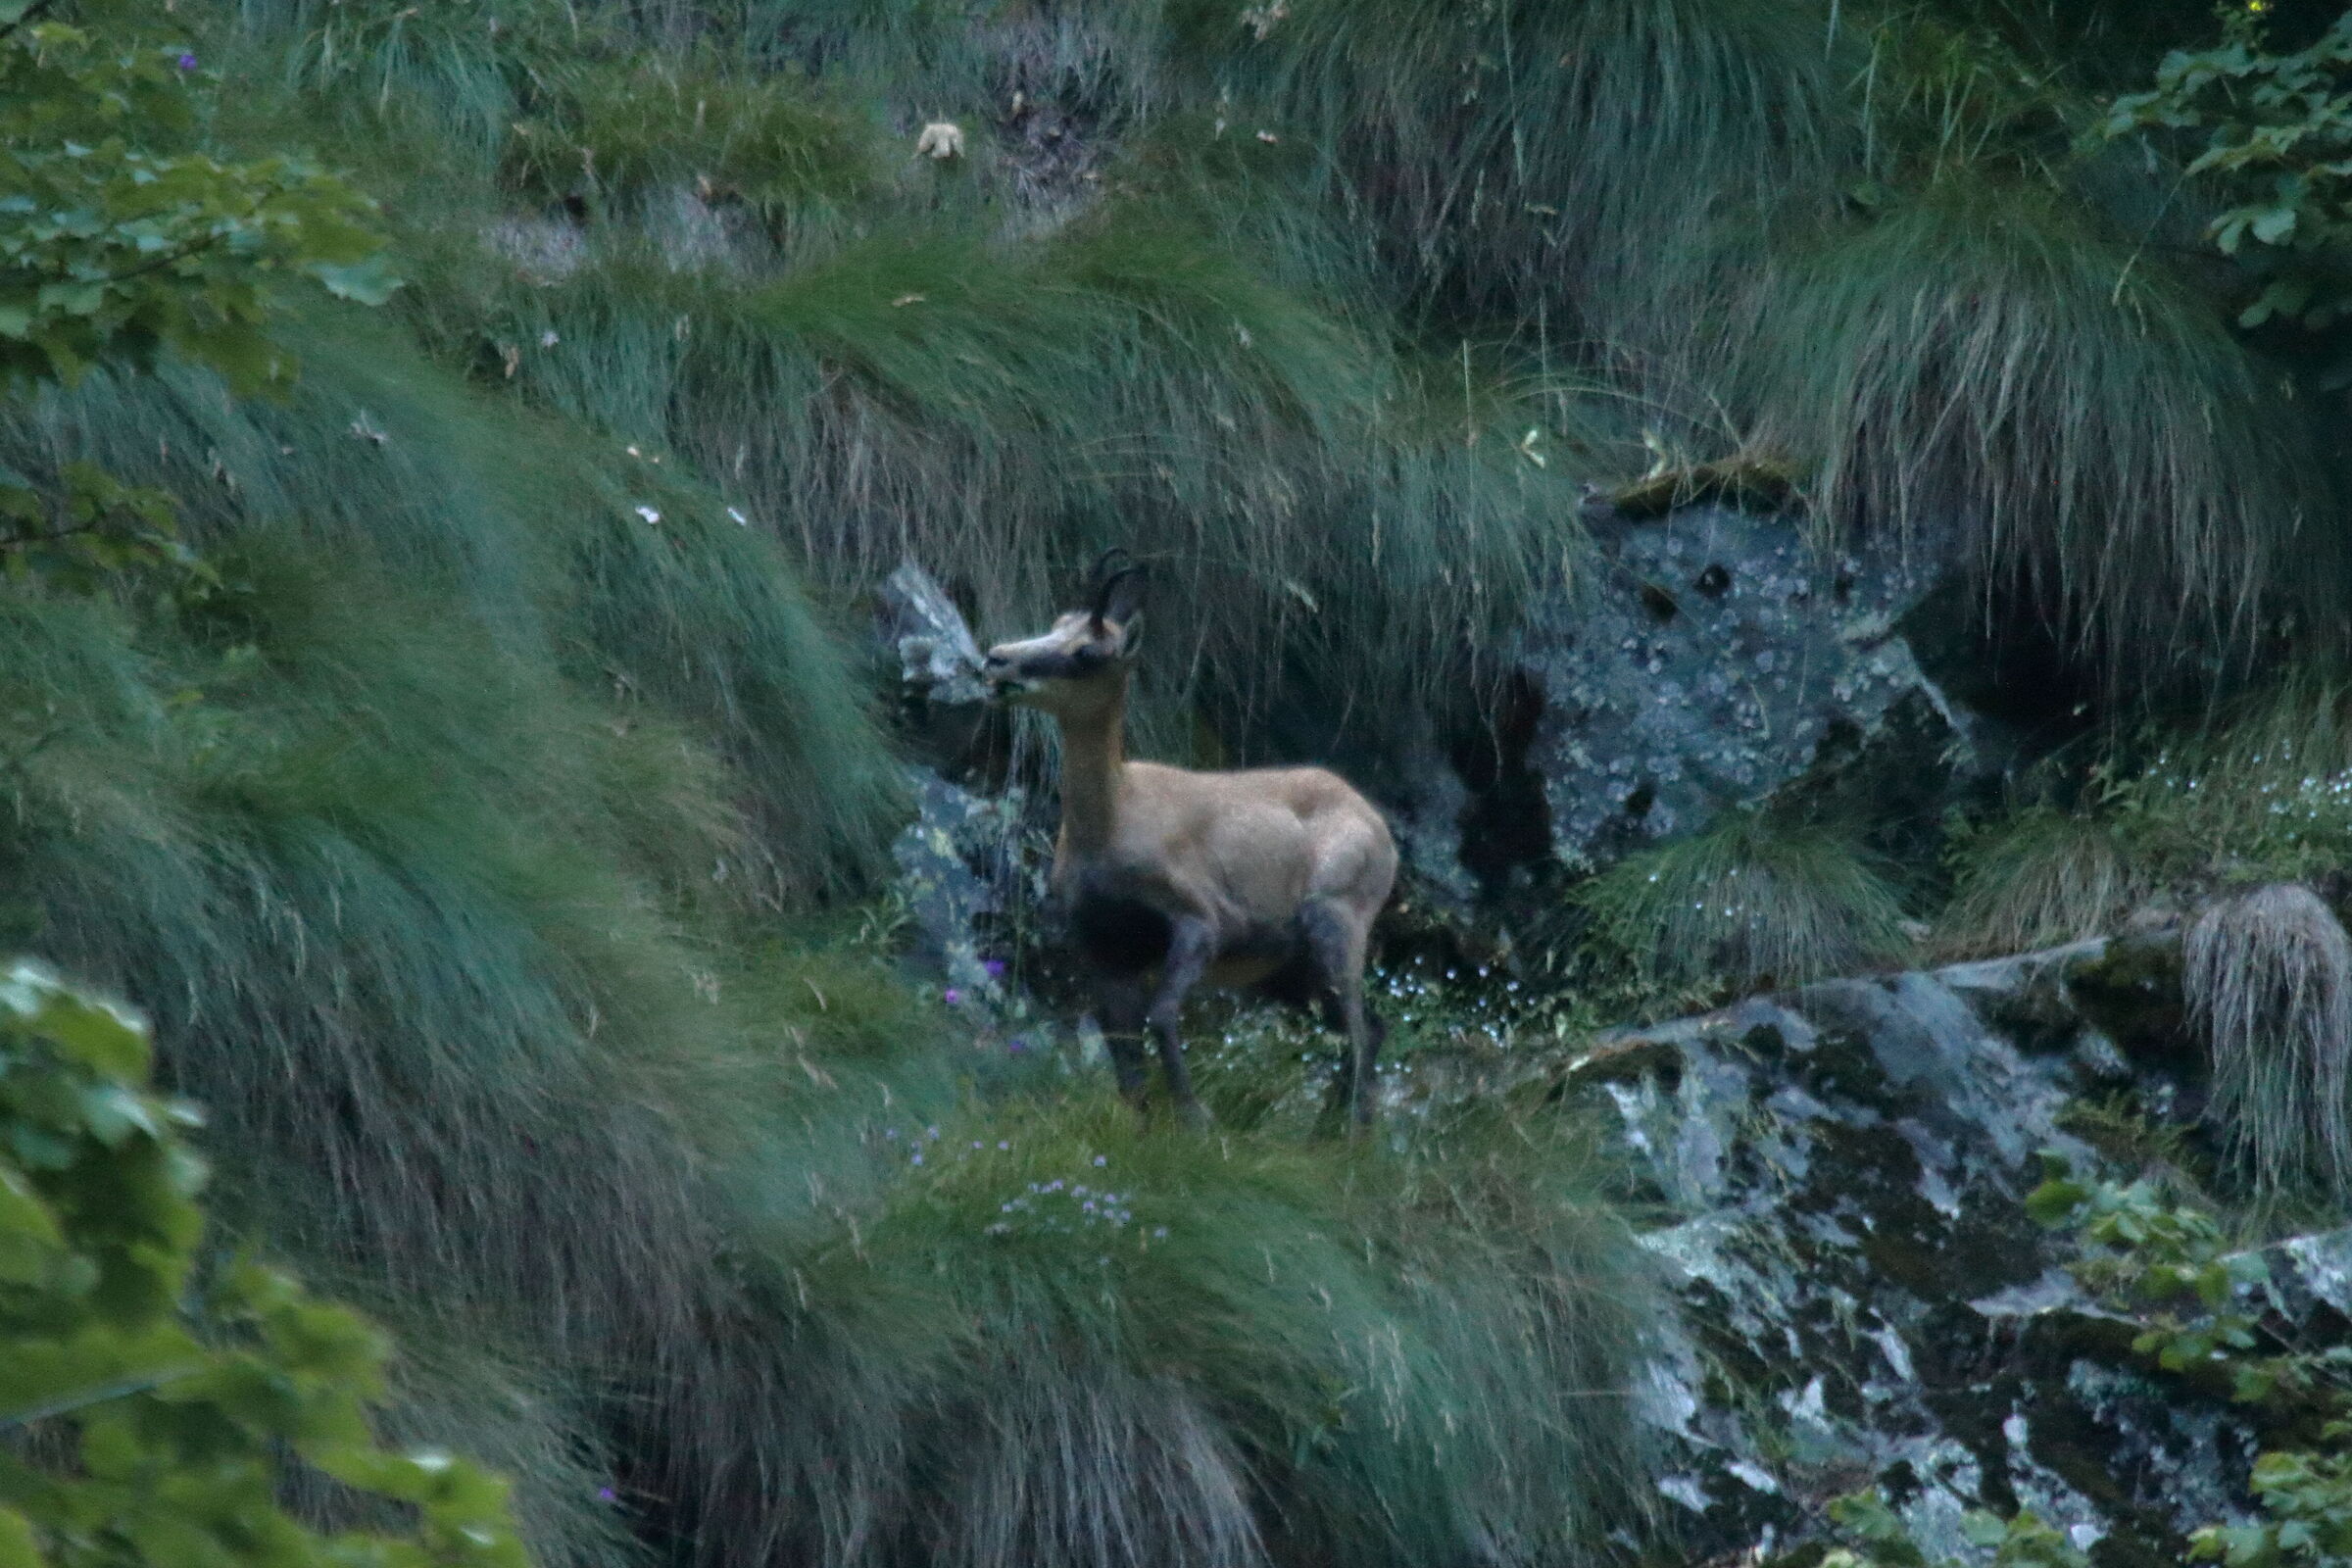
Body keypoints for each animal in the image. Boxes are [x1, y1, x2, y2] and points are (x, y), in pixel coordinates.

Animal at [982, 552, 1399, 1131]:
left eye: (1086, 650)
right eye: (1057, 623)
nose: (996, 660)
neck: (1114, 820)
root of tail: (1375, 823)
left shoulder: (1200, 920)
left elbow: (1160, 1016)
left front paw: (1194, 1116)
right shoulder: (1101, 943)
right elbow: (1120, 1040)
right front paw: (1141, 1120)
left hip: (1335, 921)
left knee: (1358, 1031)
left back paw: (1353, 1134)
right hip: (1285, 968)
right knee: (1363, 1029)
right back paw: (1327, 1131)